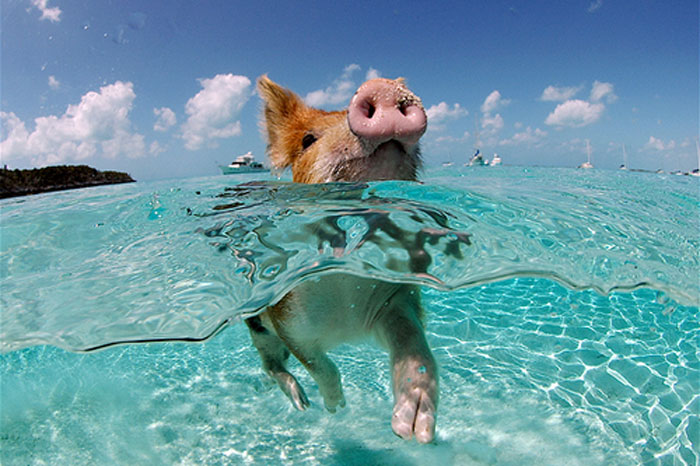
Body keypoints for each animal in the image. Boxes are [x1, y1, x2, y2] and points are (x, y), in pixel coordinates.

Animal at [246, 76, 438, 444]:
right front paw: (336, 407)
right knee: (271, 365)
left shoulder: (393, 298)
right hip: (258, 328)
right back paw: (302, 404)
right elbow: (319, 365)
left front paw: (413, 430)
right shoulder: (287, 320)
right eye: (307, 140)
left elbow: (413, 345)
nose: (382, 86)